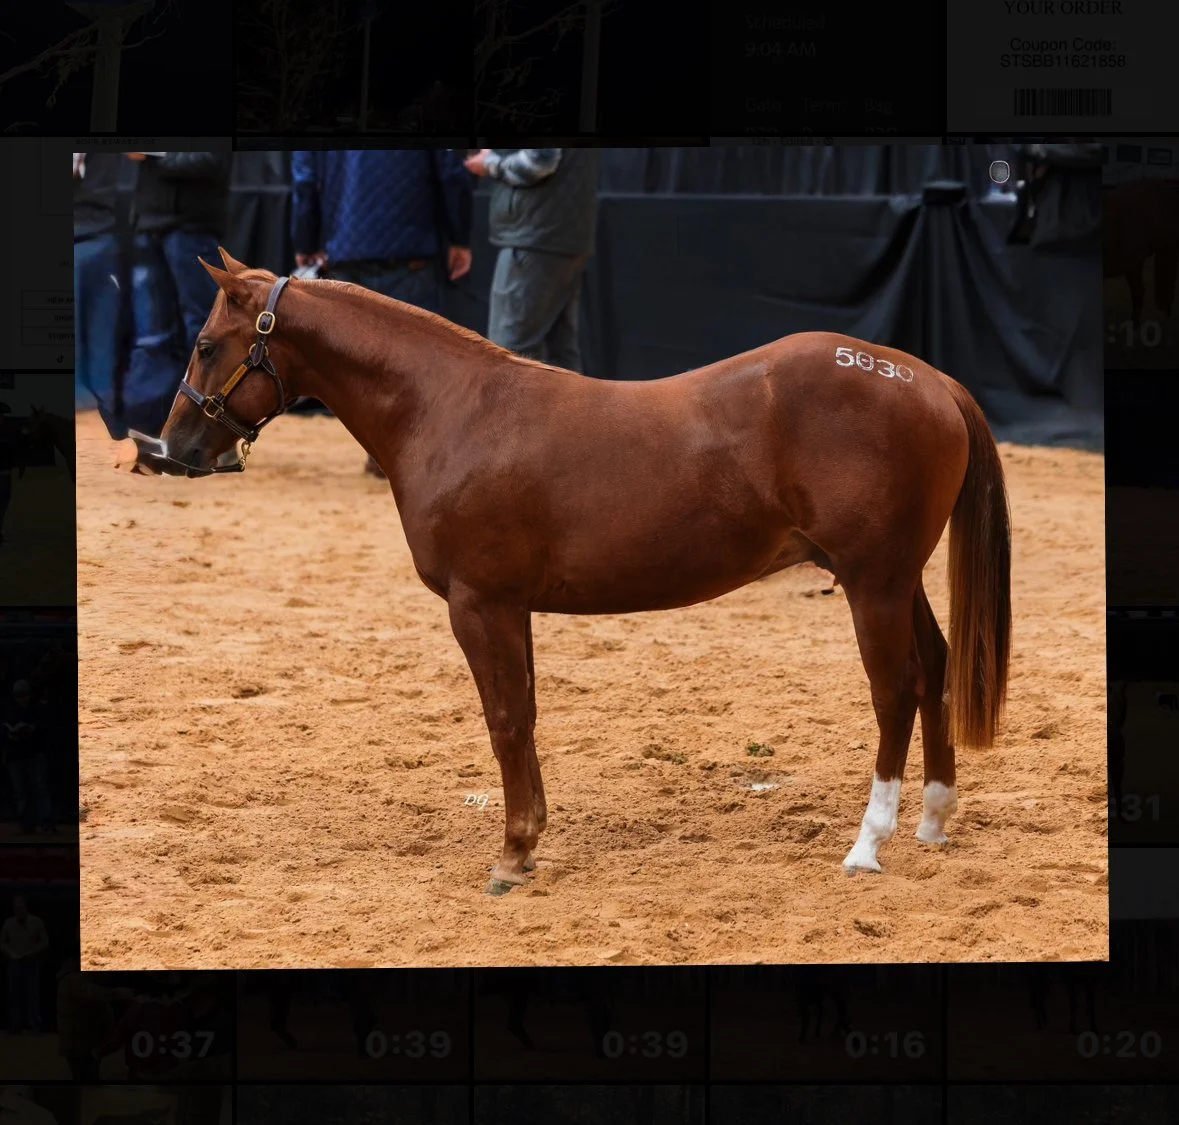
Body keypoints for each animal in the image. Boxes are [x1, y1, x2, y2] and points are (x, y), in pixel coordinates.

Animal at [129, 248, 1012, 895]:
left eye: (205, 346)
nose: (171, 449)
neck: (450, 408)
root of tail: (926, 378)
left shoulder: (478, 603)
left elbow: (502, 720)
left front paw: (512, 852)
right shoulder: (510, 607)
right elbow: (524, 716)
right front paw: (531, 838)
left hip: (872, 581)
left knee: (895, 690)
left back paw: (869, 841)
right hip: (896, 580)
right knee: (934, 668)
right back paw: (934, 817)